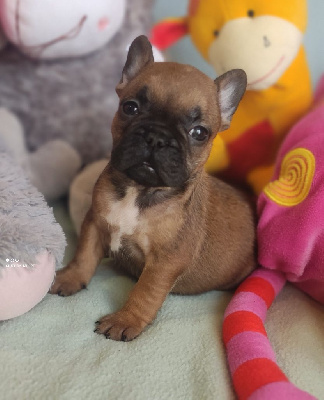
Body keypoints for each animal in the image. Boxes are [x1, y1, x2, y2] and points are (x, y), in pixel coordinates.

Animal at [50, 36, 256, 340]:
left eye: (199, 133)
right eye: (130, 107)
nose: (157, 137)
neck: (138, 191)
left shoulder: (165, 261)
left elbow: (145, 292)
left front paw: (126, 319)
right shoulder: (95, 223)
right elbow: (84, 254)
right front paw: (71, 278)